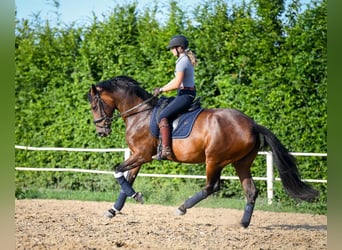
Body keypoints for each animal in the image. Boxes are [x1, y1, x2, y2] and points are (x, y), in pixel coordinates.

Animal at [87, 75, 320, 228]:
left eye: (94, 106)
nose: (101, 131)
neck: (140, 114)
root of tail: (253, 124)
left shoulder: (142, 155)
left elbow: (117, 171)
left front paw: (135, 197)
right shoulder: (138, 156)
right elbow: (127, 178)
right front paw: (115, 209)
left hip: (214, 160)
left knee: (211, 186)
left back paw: (182, 208)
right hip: (241, 163)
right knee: (250, 191)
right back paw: (243, 223)